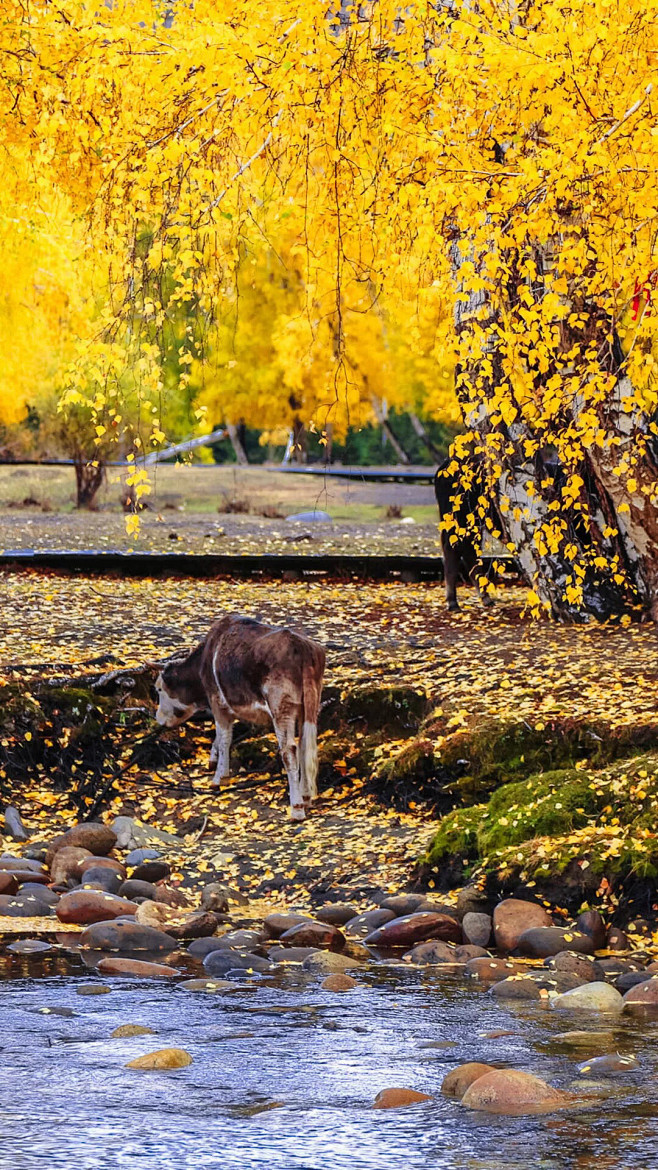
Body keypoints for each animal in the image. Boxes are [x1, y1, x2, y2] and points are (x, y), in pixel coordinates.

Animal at [154, 613, 327, 823]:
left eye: (159, 689)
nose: (158, 718)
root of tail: (301, 645)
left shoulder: (217, 700)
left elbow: (224, 738)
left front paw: (219, 778)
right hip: (309, 705)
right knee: (304, 745)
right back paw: (306, 796)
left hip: (281, 705)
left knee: (289, 751)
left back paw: (297, 809)